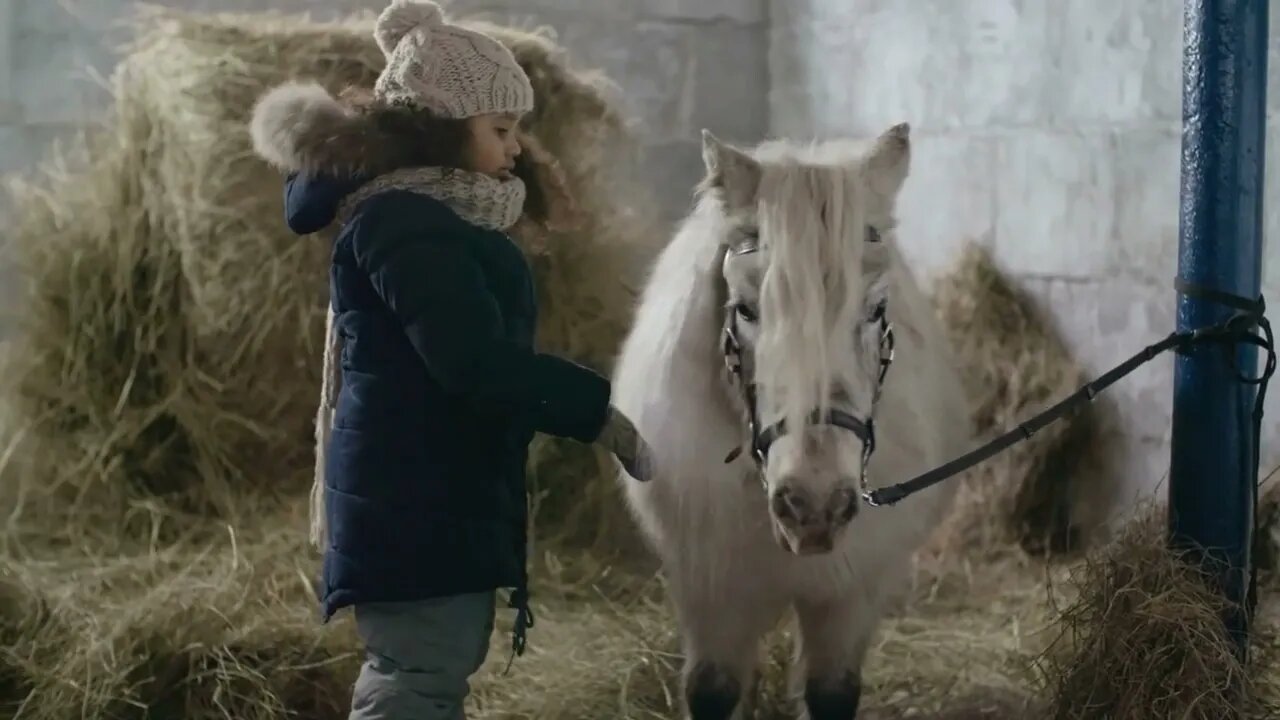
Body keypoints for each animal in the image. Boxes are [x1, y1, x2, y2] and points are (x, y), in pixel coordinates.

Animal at [614, 124, 972, 717]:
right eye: (746, 309)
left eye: (876, 309)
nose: (815, 505)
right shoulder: (711, 591)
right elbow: (713, 691)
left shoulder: (852, 594)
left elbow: (831, 693)